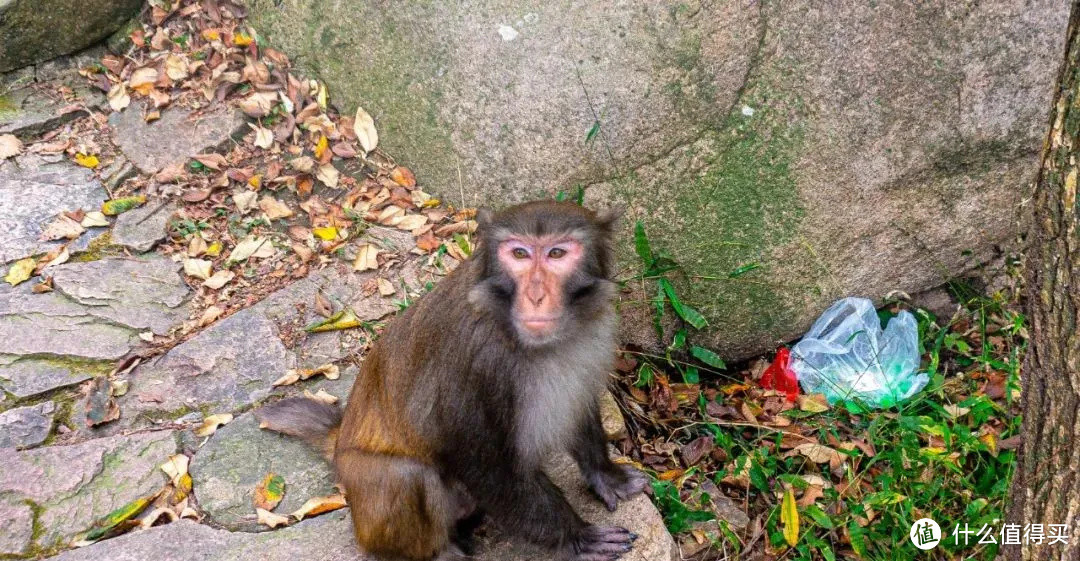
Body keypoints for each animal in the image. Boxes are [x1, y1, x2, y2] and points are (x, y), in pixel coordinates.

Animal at [255, 202, 643, 561]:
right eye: (519, 254)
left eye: (557, 254)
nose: (535, 296)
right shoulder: (481, 360)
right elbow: (484, 463)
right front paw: (577, 537)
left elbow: (577, 405)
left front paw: (606, 475)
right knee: (407, 475)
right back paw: (439, 552)